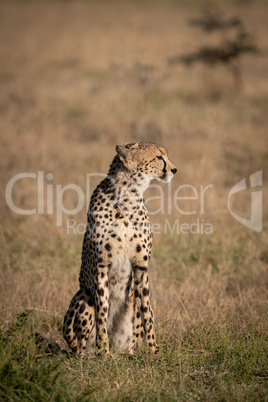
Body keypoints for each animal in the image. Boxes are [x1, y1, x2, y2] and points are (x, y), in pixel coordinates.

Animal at [62, 142, 176, 354]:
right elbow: (102, 312)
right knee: (78, 345)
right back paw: (92, 354)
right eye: (158, 157)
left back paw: (128, 354)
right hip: (84, 295)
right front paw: (103, 352)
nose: (174, 170)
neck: (129, 195)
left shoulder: (141, 267)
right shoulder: (101, 265)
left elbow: (147, 314)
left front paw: (154, 352)